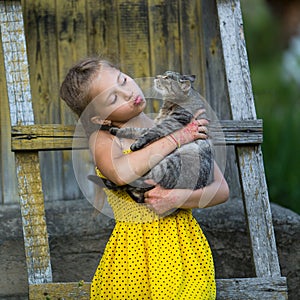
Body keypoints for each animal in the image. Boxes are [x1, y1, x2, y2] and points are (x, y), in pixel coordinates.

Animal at [88, 70, 213, 204]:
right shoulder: (154, 124)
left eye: (167, 77)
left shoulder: (170, 122)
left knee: (138, 180)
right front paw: (117, 130)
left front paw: (136, 144)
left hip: (169, 163)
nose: (157, 76)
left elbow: (150, 133)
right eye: (164, 74)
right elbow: (136, 130)